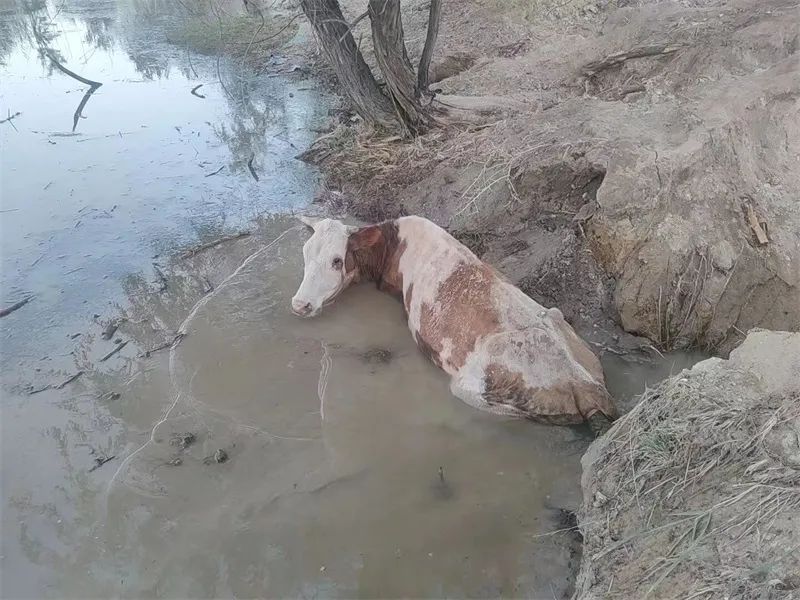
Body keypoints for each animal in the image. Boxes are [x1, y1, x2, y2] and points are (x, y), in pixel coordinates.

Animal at [294, 216, 620, 432]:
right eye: (305, 255)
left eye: (337, 260)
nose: (300, 304)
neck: (392, 245)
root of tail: (585, 387)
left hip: (469, 387)